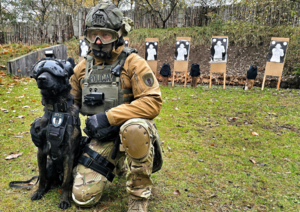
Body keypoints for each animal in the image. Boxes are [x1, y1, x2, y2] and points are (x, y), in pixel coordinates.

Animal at [30, 57, 81, 209]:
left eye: (54, 70)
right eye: (39, 70)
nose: (41, 78)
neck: (57, 108)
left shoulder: (68, 155)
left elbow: (65, 183)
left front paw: (64, 200)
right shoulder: (41, 151)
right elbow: (41, 177)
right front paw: (39, 191)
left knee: (64, 181)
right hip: (49, 164)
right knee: (47, 179)